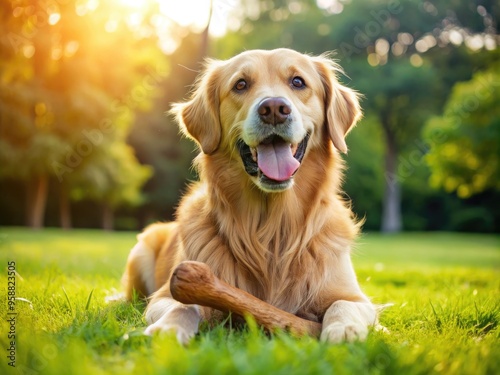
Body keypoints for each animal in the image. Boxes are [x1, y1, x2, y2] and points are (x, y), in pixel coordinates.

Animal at [122, 48, 378, 346]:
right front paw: (170, 328)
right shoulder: (164, 295)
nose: (274, 109)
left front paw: (344, 330)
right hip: (142, 249)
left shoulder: (356, 297)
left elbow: (343, 305)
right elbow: (182, 305)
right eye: (240, 84)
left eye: (298, 82)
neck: (272, 231)